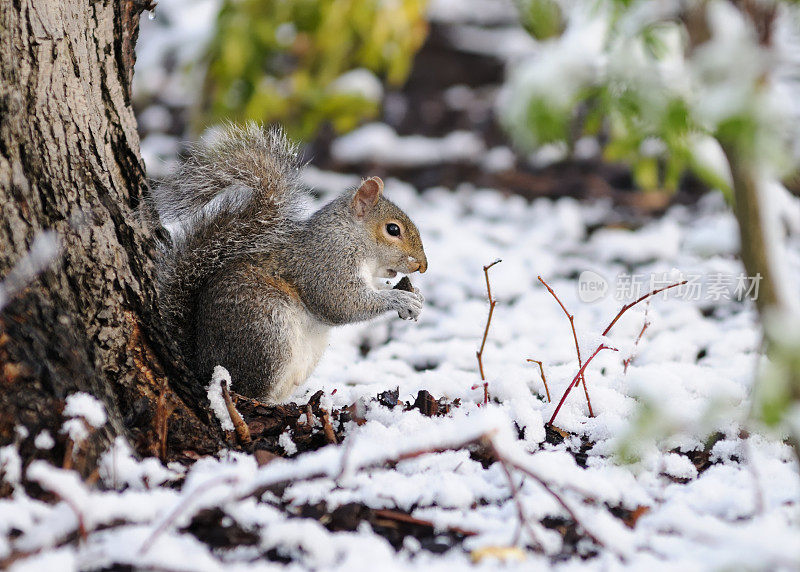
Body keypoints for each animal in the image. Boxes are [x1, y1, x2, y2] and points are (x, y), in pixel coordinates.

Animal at [149, 124, 424, 402]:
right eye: (392, 229)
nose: (422, 266)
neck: (349, 235)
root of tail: (200, 364)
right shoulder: (327, 261)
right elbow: (341, 302)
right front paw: (400, 298)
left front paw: (415, 296)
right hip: (267, 334)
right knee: (251, 390)